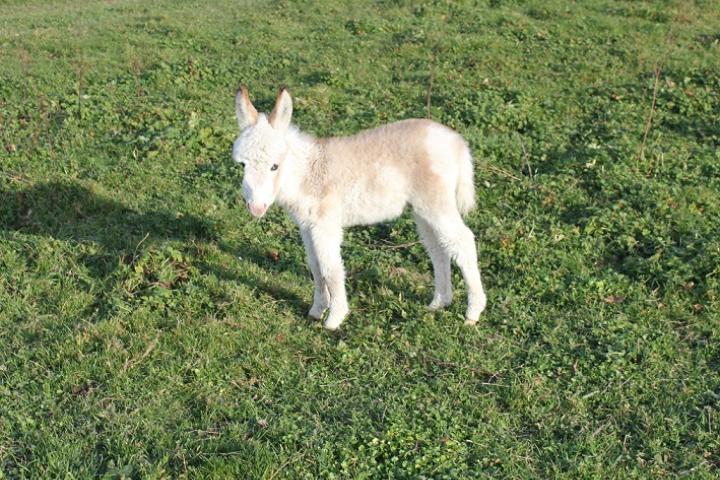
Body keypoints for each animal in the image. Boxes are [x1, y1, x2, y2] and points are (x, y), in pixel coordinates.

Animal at [233, 86, 486, 330]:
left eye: (274, 166)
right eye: (243, 165)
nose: (256, 208)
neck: (308, 173)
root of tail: (457, 142)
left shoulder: (325, 226)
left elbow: (331, 269)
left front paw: (334, 319)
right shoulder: (306, 226)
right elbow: (315, 266)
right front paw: (316, 310)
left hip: (435, 202)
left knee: (463, 241)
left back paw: (473, 313)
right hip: (423, 209)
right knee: (438, 247)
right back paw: (439, 303)